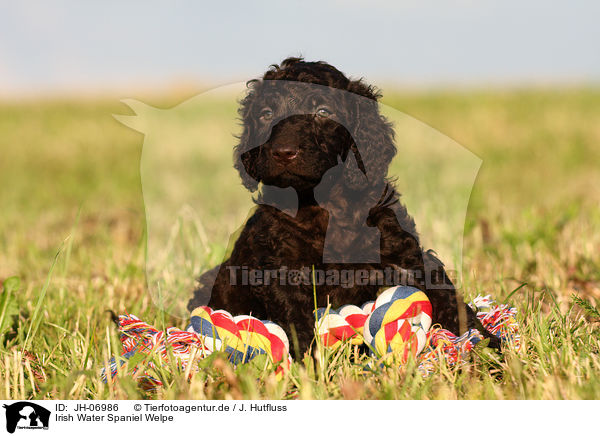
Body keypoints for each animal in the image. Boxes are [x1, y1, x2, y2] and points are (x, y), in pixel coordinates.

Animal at [190, 58, 500, 356]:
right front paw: (314, 365)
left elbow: (450, 301)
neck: (324, 204)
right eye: (266, 114)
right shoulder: (280, 273)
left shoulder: (405, 256)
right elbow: (298, 323)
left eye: (323, 111)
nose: (283, 153)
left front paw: (491, 348)